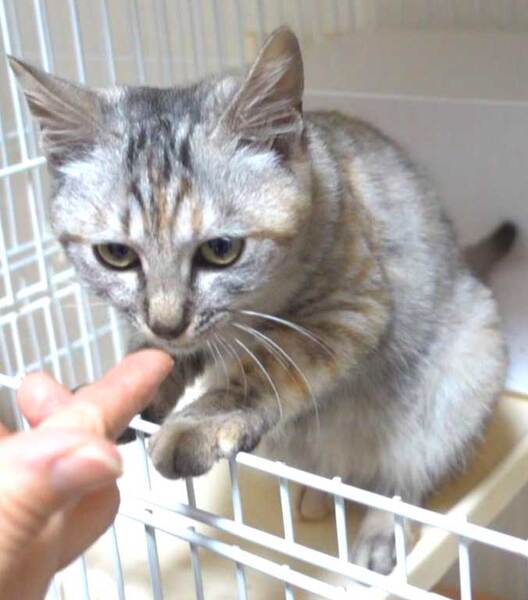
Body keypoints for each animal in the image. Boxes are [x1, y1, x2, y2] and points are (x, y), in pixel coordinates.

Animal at [10, 26, 516, 574]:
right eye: (116, 255)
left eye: (221, 250)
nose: (167, 323)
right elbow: (157, 358)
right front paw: (136, 386)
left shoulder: (348, 309)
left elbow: (265, 367)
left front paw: (199, 424)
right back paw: (315, 495)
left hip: (463, 374)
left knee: (406, 479)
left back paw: (381, 530)